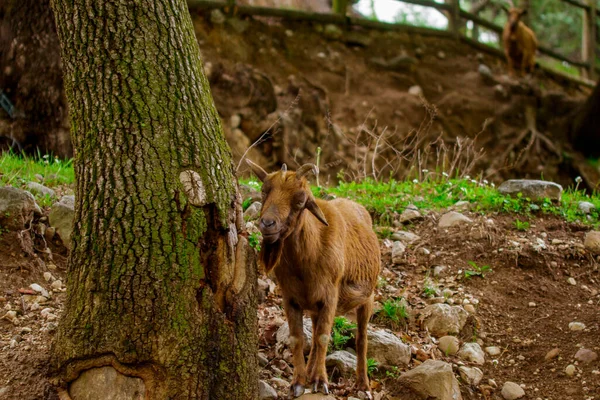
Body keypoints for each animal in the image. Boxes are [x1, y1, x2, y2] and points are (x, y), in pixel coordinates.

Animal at [247, 161, 380, 398]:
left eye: (301, 200)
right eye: (264, 191)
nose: (267, 224)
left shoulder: (330, 296)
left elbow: (324, 337)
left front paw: (322, 381)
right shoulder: (291, 298)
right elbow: (298, 338)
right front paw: (299, 382)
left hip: (368, 297)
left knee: (362, 339)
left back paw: (363, 385)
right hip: (315, 306)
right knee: (317, 332)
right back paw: (310, 373)